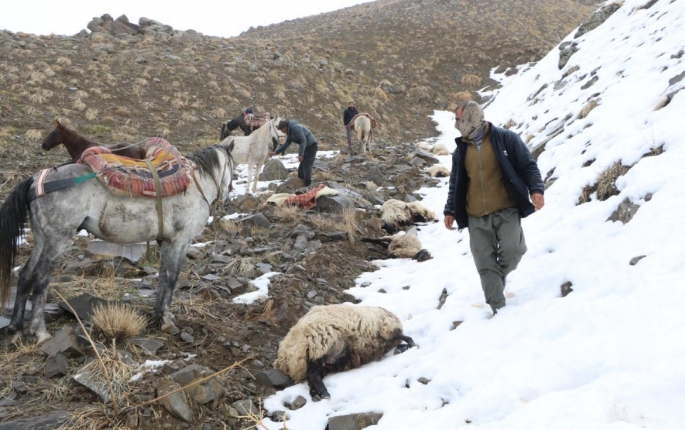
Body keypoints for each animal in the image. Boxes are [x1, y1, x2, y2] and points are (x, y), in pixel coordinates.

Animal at [0, 144, 235, 342]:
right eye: (232, 168)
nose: (226, 197)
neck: (195, 185)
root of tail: (36, 179)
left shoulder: (167, 243)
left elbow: (163, 277)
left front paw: (158, 315)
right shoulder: (180, 242)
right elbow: (171, 278)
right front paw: (167, 320)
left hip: (42, 239)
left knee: (25, 275)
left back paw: (15, 328)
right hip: (57, 241)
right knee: (40, 279)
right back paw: (40, 332)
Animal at [274, 306, 416, 400]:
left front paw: (403, 347)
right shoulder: (385, 329)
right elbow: (403, 337)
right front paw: (411, 344)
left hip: (326, 357)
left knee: (312, 377)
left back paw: (316, 394)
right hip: (321, 346)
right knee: (313, 375)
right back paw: (324, 394)